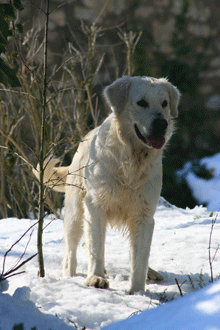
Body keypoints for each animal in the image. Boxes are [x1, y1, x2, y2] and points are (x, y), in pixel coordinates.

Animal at [35, 76, 180, 292]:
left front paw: (137, 290)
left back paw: (150, 272)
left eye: (164, 103)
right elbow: (96, 248)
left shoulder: (144, 214)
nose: (162, 123)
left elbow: (139, 256)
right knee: (71, 251)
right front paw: (96, 277)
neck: (131, 160)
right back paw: (70, 275)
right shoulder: (95, 206)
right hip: (75, 212)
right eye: (141, 102)